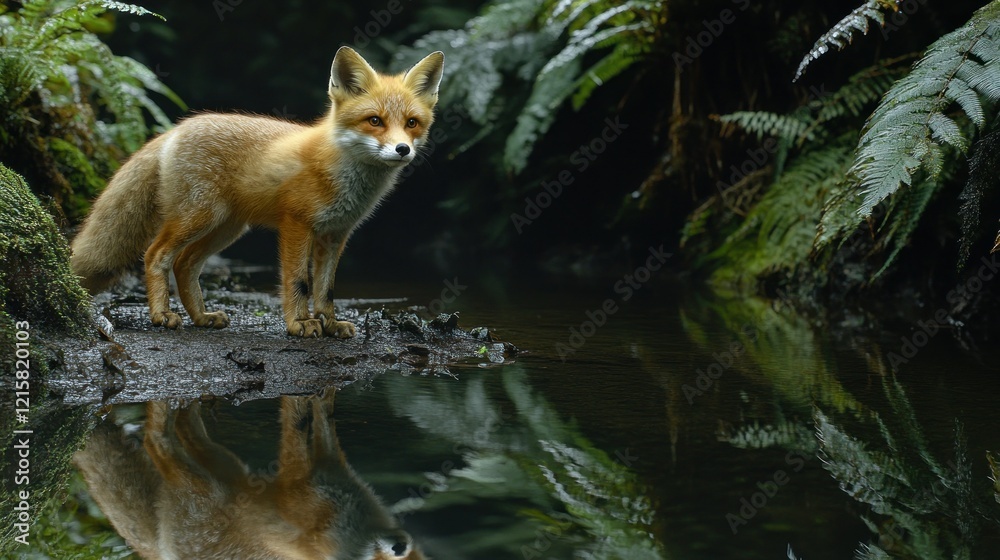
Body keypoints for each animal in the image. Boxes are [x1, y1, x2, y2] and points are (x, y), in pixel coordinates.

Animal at [69, 47, 445, 337]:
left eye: (411, 123)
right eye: (375, 121)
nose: (402, 150)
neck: (342, 174)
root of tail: (176, 129)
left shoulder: (336, 234)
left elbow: (326, 289)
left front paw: (330, 323)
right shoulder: (296, 224)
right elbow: (298, 282)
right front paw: (300, 324)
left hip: (227, 228)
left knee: (184, 264)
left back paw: (201, 317)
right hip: (198, 218)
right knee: (156, 255)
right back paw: (162, 315)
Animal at [73, 394, 425, 559]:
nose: (399, 546)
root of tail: (161, 553)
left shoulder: (330, 472)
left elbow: (321, 421)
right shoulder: (303, 486)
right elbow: (301, 422)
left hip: (224, 467)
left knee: (182, 433)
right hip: (205, 487)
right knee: (154, 438)